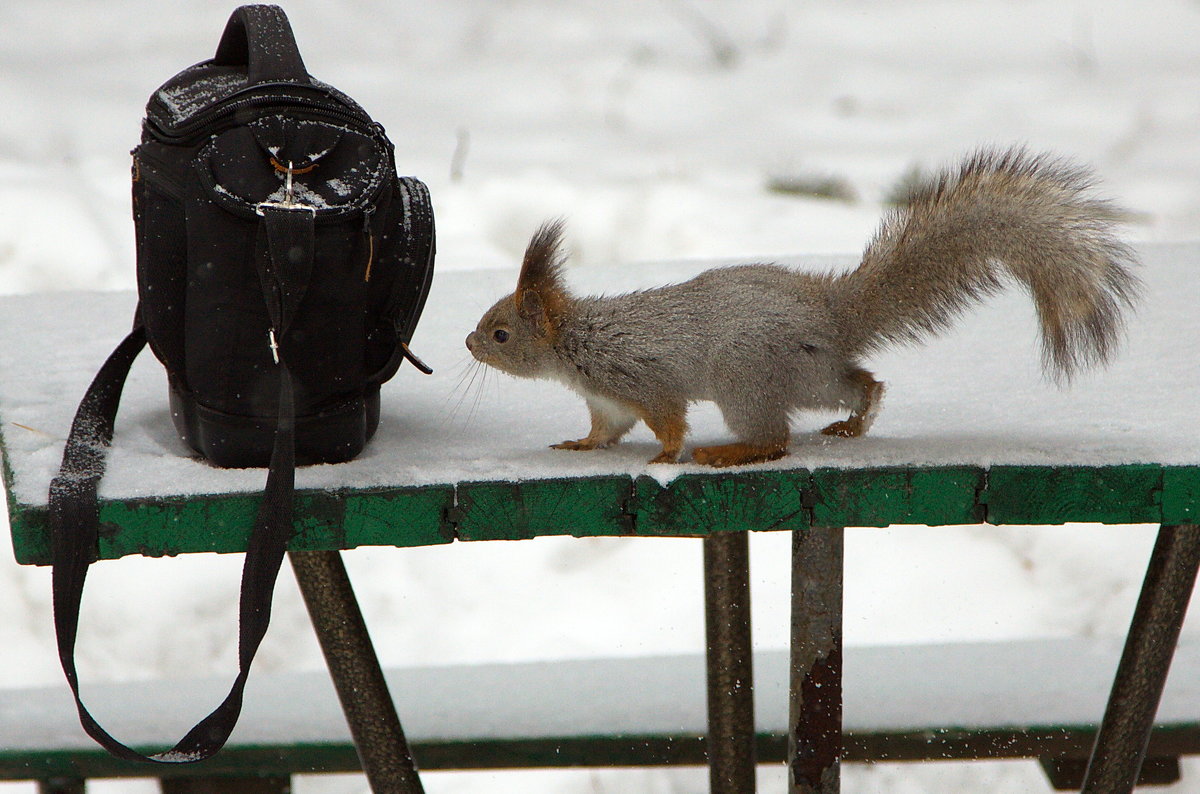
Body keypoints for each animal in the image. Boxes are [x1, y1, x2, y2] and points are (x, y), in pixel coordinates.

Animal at [463, 149, 1137, 467]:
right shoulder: (606, 401)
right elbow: (604, 430)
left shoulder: (638, 379)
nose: (467, 343)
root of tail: (831, 312)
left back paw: (728, 452)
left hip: (748, 378)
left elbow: (668, 420)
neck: (574, 343)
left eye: (500, 333)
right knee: (861, 383)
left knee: (776, 439)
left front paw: (665, 456)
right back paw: (855, 421)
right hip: (810, 372)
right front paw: (581, 445)